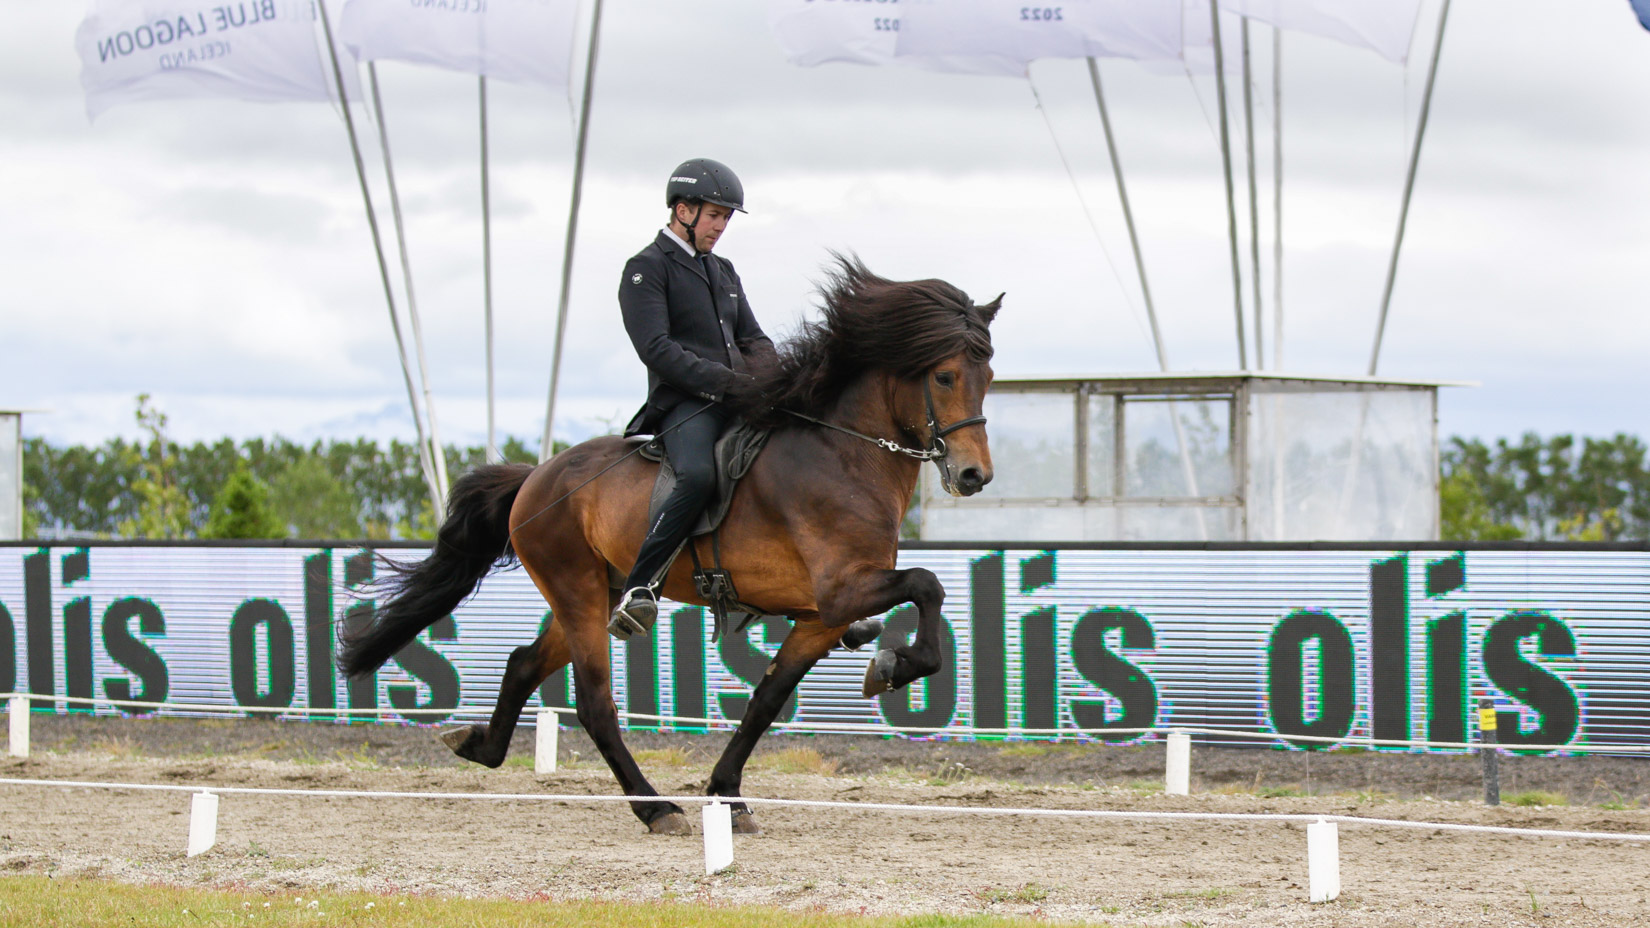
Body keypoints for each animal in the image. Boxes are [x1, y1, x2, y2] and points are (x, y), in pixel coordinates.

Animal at [338, 255, 990, 835]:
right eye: (944, 376)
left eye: (987, 378)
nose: (973, 476)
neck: (842, 455)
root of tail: (535, 479)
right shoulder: (841, 591)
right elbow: (928, 585)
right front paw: (895, 666)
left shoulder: (821, 617)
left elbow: (767, 698)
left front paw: (729, 796)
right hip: (576, 589)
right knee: (595, 705)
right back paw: (654, 808)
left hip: (593, 593)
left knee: (523, 663)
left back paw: (480, 745)